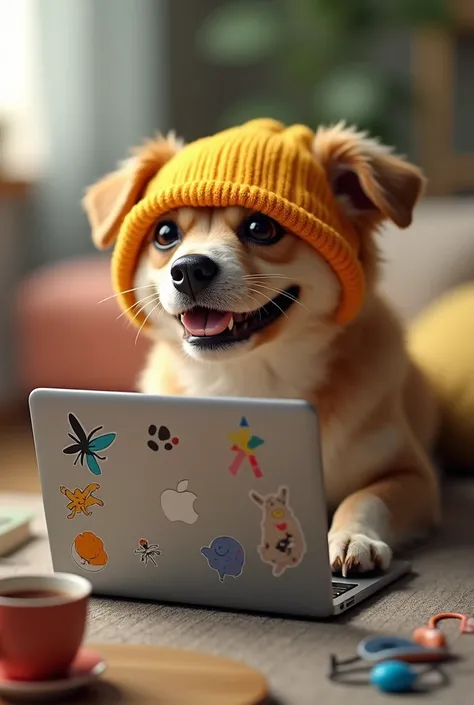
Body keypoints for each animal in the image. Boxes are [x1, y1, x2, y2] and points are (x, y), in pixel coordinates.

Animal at [83, 118, 442, 576]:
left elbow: (365, 498)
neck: (253, 374)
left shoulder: (414, 476)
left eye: (261, 228)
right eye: (165, 234)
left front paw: (351, 537)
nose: (188, 269)